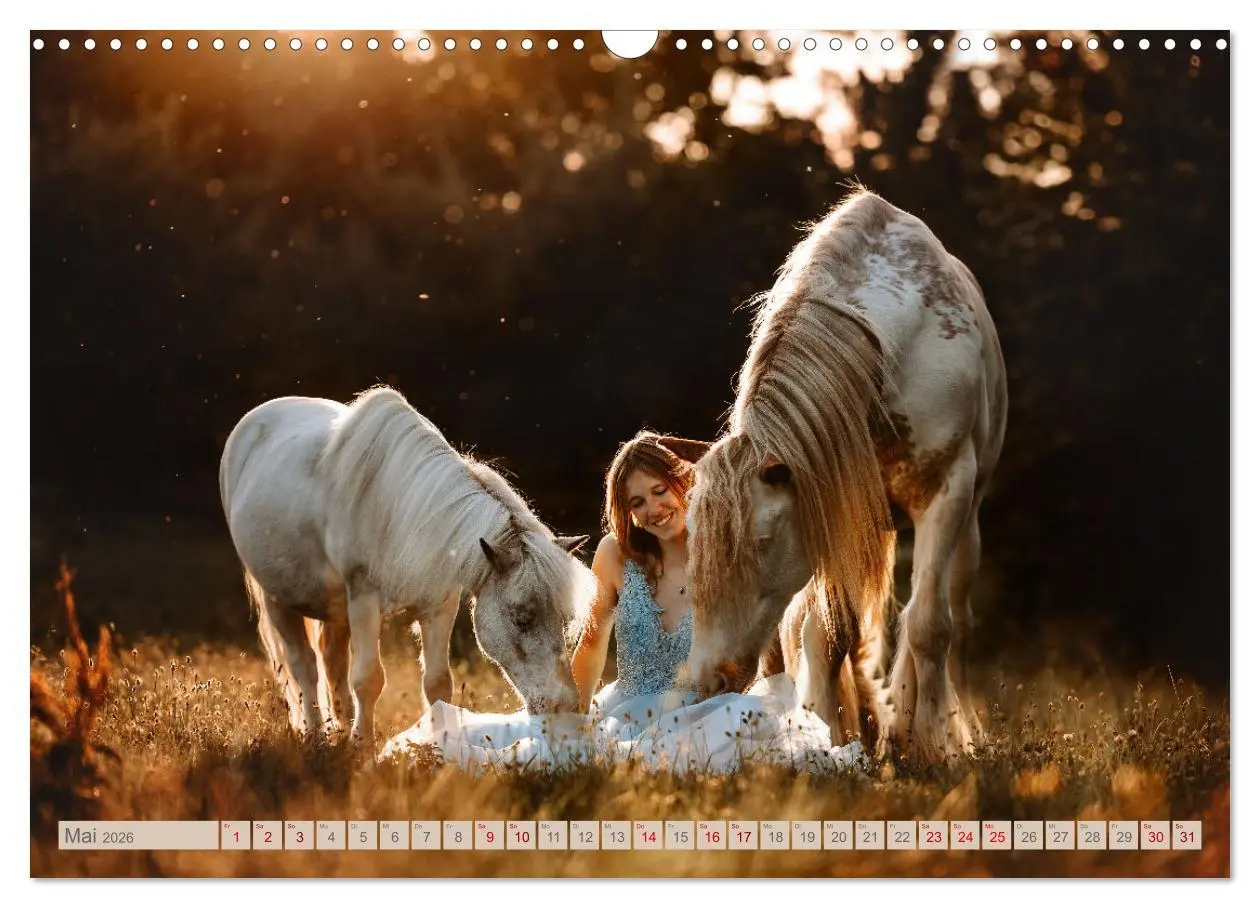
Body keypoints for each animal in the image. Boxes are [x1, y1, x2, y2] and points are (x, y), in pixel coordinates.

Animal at [219, 385, 592, 745]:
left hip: (336, 608)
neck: (402, 513)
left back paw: (338, 730)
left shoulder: (440, 605)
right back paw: (315, 736)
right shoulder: (364, 601)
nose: (564, 707)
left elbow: (438, 683)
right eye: (521, 618)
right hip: (278, 599)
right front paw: (363, 747)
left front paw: (441, 746)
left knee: (330, 661)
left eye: (564, 619)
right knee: (303, 668)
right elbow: (368, 679)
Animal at [662, 189, 1007, 760]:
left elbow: (930, 626)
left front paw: (932, 742)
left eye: (761, 541)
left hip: (969, 523)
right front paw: (832, 733)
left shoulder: (947, 492)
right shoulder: (835, 508)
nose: (708, 680)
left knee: (952, 615)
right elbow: (829, 636)